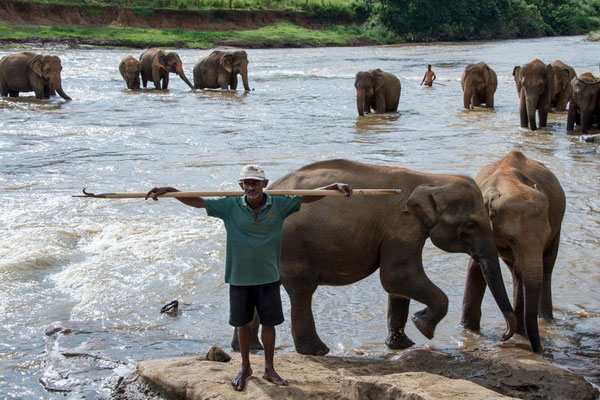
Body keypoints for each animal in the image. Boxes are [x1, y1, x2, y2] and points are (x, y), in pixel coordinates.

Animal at [251, 158, 516, 354]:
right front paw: (423, 326)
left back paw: (254, 347)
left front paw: (402, 344)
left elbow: (398, 285)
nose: (502, 336)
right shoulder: (401, 226)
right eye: (471, 225)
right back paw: (317, 351)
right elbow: (397, 276)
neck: (430, 179)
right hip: (292, 244)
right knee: (302, 290)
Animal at [462, 151, 564, 354]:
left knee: (545, 267)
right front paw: (468, 329)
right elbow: (477, 267)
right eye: (511, 239)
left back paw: (544, 321)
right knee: (517, 273)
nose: (503, 335)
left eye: (545, 235)